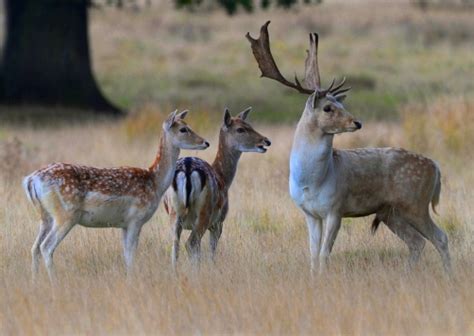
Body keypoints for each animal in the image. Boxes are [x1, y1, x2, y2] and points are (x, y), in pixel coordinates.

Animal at [24, 109, 209, 278]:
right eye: (183, 129)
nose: (205, 142)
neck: (154, 181)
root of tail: (31, 180)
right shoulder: (136, 218)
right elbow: (131, 254)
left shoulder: (124, 223)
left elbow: (126, 255)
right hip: (66, 214)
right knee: (46, 247)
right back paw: (54, 282)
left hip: (45, 216)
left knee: (35, 248)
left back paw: (35, 281)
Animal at [165, 109, 272, 270]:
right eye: (240, 129)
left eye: (250, 125)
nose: (266, 141)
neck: (223, 178)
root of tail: (188, 169)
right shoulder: (218, 222)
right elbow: (212, 250)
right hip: (204, 213)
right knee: (191, 243)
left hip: (174, 213)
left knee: (175, 246)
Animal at [246, 21, 450, 274]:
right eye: (328, 108)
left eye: (341, 103)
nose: (357, 122)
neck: (312, 181)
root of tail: (436, 167)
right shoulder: (310, 213)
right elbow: (313, 253)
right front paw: (314, 277)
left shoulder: (336, 208)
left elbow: (324, 253)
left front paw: (323, 277)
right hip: (392, 211)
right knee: (417, 242)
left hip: (415, 203)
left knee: (440, 237)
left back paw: (448, 275)